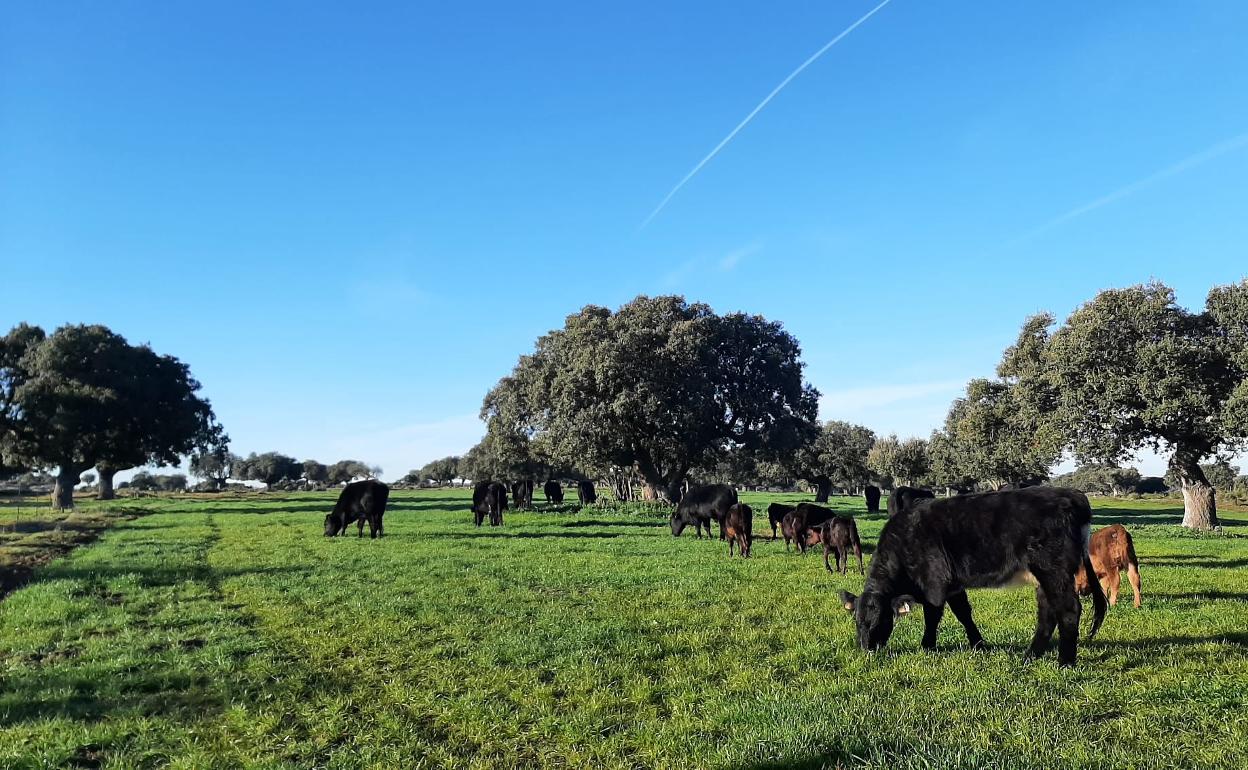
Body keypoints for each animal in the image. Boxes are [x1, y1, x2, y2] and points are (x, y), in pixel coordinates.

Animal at [843, 489, 1108, 663]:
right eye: (857, 622)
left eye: (880, 620)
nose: (866, 649)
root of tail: (1072, 495)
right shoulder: (953, 585)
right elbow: (963, 613)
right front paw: (978, 644)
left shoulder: (934, 584)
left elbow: (933, 616)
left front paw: (927, 646)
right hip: (1044, 576)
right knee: (1047, 612)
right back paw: (1030, 656)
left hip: (1053, 569)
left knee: (1068, 609)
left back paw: (1065, 661)